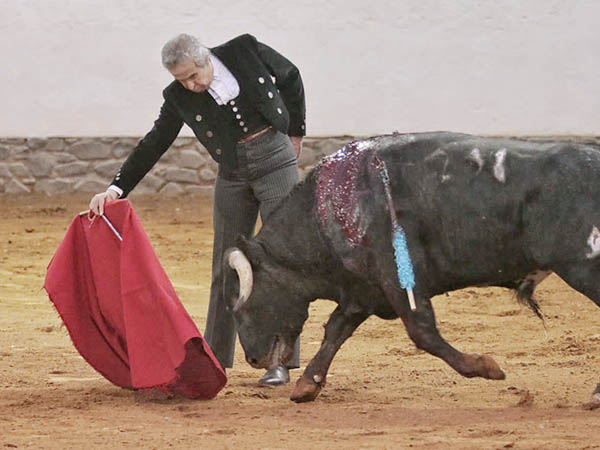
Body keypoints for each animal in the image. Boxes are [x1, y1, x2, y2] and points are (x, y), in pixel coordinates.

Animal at [221, 132, 600, 402]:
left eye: (241, 308)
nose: (252, 359)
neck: (325, 211)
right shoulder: (363, 290)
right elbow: (336, 331)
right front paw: (307, 384)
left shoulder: (399, 279)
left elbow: (422, 331)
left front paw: (486, 367)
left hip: (583, 269)